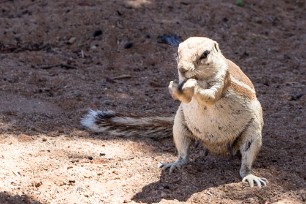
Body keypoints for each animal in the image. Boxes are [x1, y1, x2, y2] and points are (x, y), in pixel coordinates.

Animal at [80, 37, 268, 188]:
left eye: (205, 54)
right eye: (178, 52)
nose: (182, 68)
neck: (200, 78)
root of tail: (216, 145)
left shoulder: (222, 81)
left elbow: (210, 96)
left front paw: (193, 87)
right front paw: (174, 88)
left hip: (252, 134)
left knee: (245, 163)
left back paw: (250, 176)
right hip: (179, 126)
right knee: (184, 156)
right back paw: (174, 164)